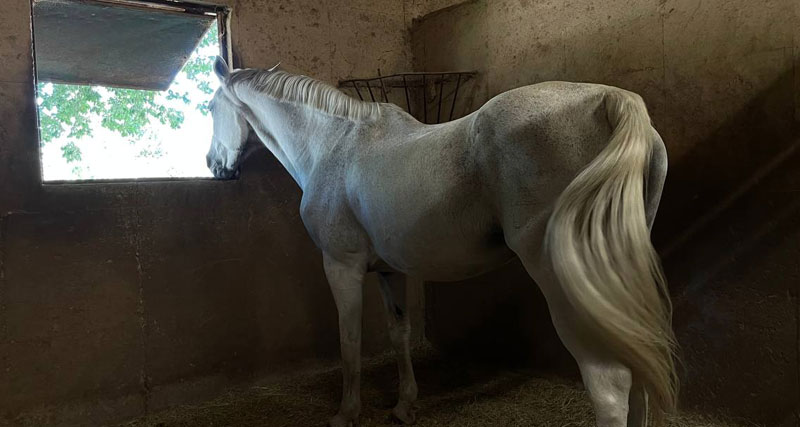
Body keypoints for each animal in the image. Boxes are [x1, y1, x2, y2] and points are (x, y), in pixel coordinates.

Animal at [206, 56, 676, 427]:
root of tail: (611, 100)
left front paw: (346, 413)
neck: (334, 146)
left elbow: (349, 341)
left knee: (610, 384)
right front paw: (404, 407)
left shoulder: (342, 266)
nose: (214, 165)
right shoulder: (388, 271)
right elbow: (399, 333)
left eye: (210, 107)